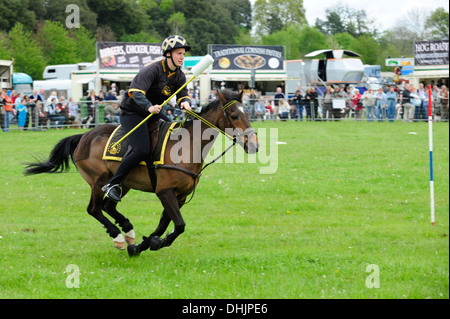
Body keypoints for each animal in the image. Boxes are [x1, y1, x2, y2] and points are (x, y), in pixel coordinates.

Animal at [22, 89, 258, 258]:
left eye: (247, 112)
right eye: (234, 115)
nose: (254, 145)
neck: (185, 145)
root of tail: (83, 136)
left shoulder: (179, 196)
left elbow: (165, 225)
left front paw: (144, 244)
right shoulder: (165, 192)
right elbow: (179, 225)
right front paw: (154, 243)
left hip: (122, 182)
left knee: (108, 206)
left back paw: (128, 230)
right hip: (98, 181)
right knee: (94, 209)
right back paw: (118, 236)